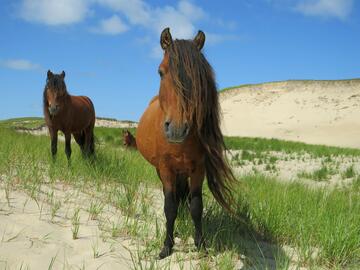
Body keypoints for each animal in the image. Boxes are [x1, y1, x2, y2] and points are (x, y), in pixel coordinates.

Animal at [135, 28, 236, 258]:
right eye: (160, 72)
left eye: (198, 77)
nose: (177, 129)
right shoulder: (166, 169)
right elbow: (169, 206)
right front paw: (167, 246)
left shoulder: (199, 169)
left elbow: (196, 206)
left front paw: (201, 244)